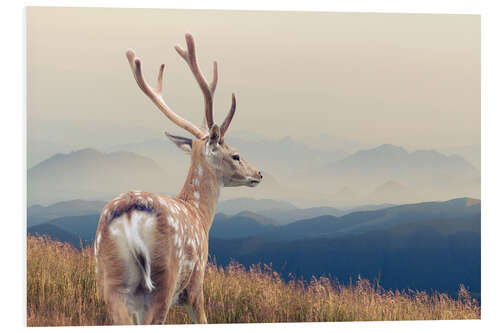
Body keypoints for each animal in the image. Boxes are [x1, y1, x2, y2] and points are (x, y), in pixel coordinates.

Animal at [95, 33, 264, 324]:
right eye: (236, 155)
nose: (258, 174)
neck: (200, 215)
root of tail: (129, 216)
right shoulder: (196, 283)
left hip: (111, 281)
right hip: (163, 280)